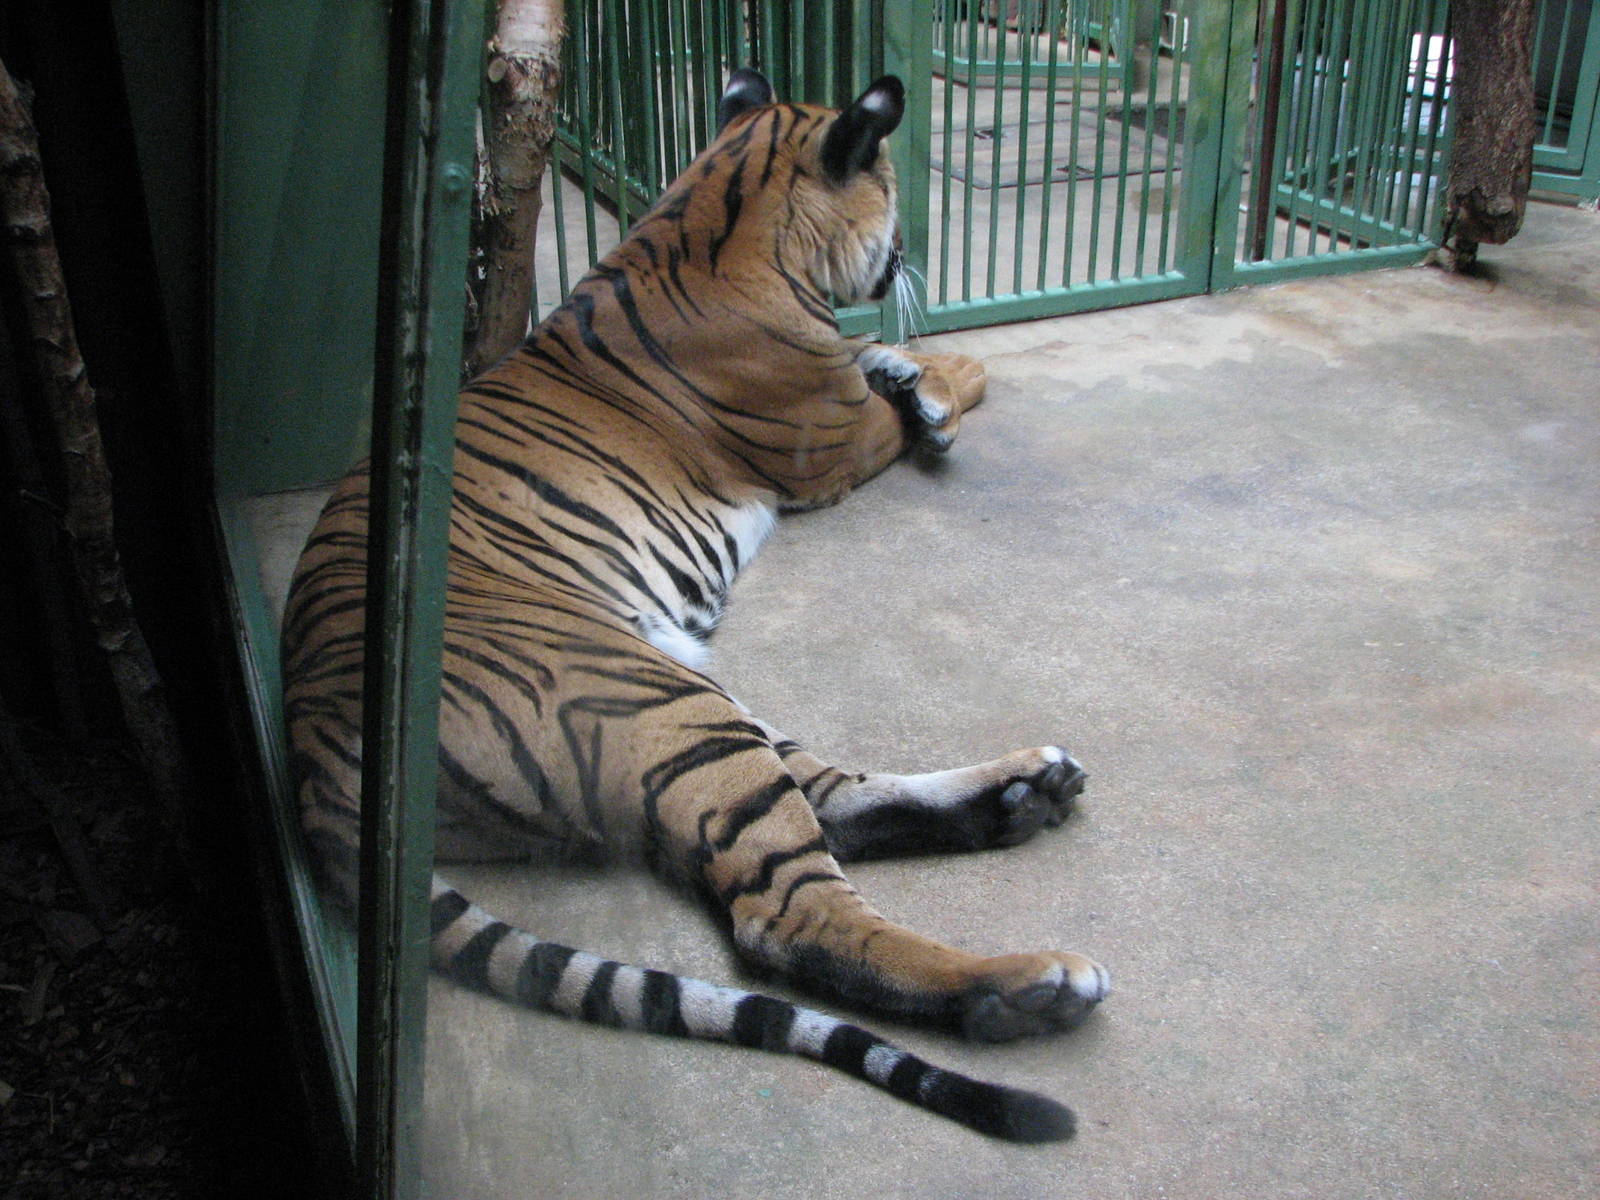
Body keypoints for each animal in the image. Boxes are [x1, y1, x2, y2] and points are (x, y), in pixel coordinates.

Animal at [282, 68, 1109, 1143]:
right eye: (891, 189)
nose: (907, 258)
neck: (717, 207)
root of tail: (311, 733)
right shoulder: (830, 441)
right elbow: (938, 382)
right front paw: (941, 383)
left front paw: (910, 374)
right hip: (665, 703)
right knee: (792, 912)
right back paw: (1026, 981)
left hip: (687, 693)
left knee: (834, 798)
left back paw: (1022, 791)